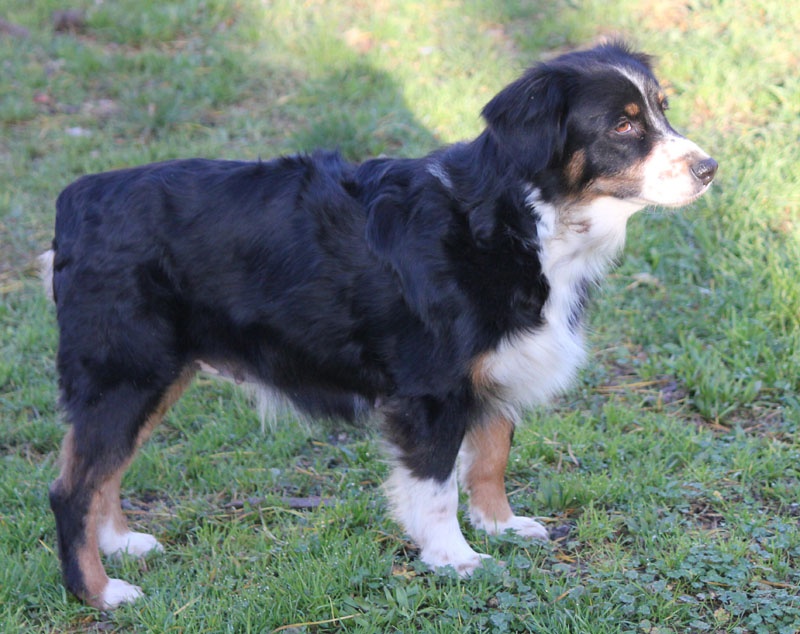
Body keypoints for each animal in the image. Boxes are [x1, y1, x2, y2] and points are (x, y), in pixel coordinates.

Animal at [42, 43, 720, 608]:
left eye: (661, 111)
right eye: (623, 125)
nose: (710, 167)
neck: (519, 221)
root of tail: (76, 200)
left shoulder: (495, 369)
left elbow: (491, 456)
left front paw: (501, 525)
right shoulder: (432, 390)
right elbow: (438, 484)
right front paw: (455, 557)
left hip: (155, 376)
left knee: (100, 472)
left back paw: (120, 544)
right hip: (128, 373)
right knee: (70, 489)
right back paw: (98, 592)